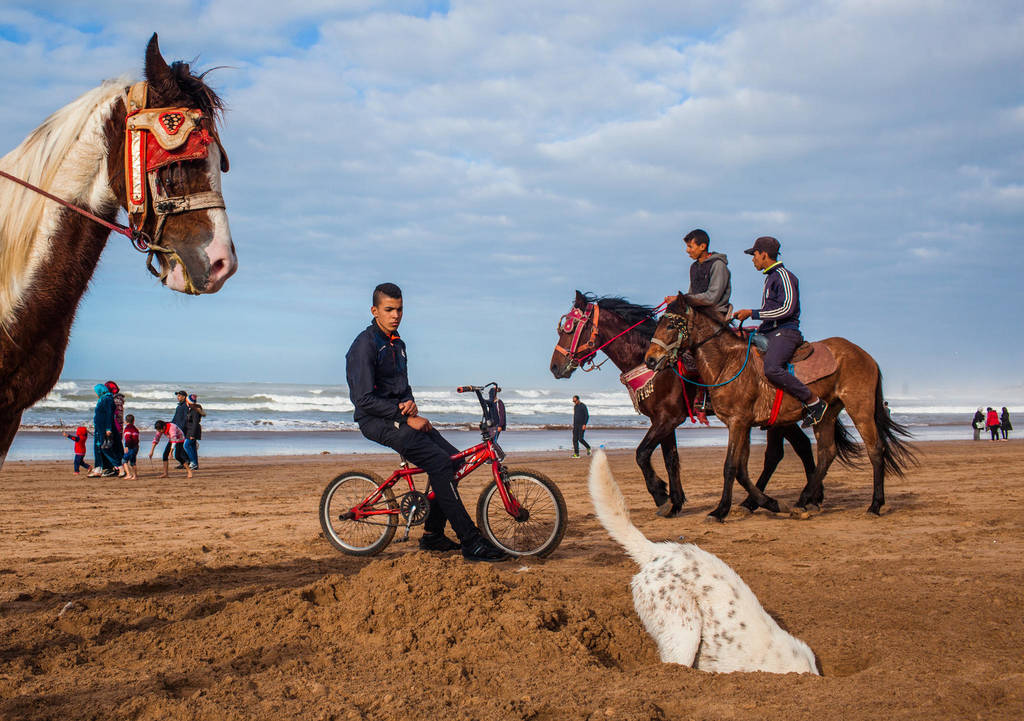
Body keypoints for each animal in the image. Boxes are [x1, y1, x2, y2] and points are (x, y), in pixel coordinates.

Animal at [552, 292, 856, 518]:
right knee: (800, 448)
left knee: (781, 453)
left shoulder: (667, 419)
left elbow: (641, 454)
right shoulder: (663, 421)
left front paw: (661, 495)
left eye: (569, 329)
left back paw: (781, 500)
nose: (555, 367)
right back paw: (802, 498)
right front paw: (675, 501)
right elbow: (671, 459)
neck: (648, 360)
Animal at [643, 294, 917, 520]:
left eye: (670, 325)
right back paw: (803, 502)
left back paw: (874, 504)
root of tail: (866, 356)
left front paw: (720, 511)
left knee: (875, 449)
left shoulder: (738, 421)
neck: (726, 363)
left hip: (859, 407)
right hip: (828, 413)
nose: (650, 359)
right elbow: (741, 469)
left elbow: (731, 466)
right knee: (826, 452)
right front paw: (770, 504)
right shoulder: (742, 424)